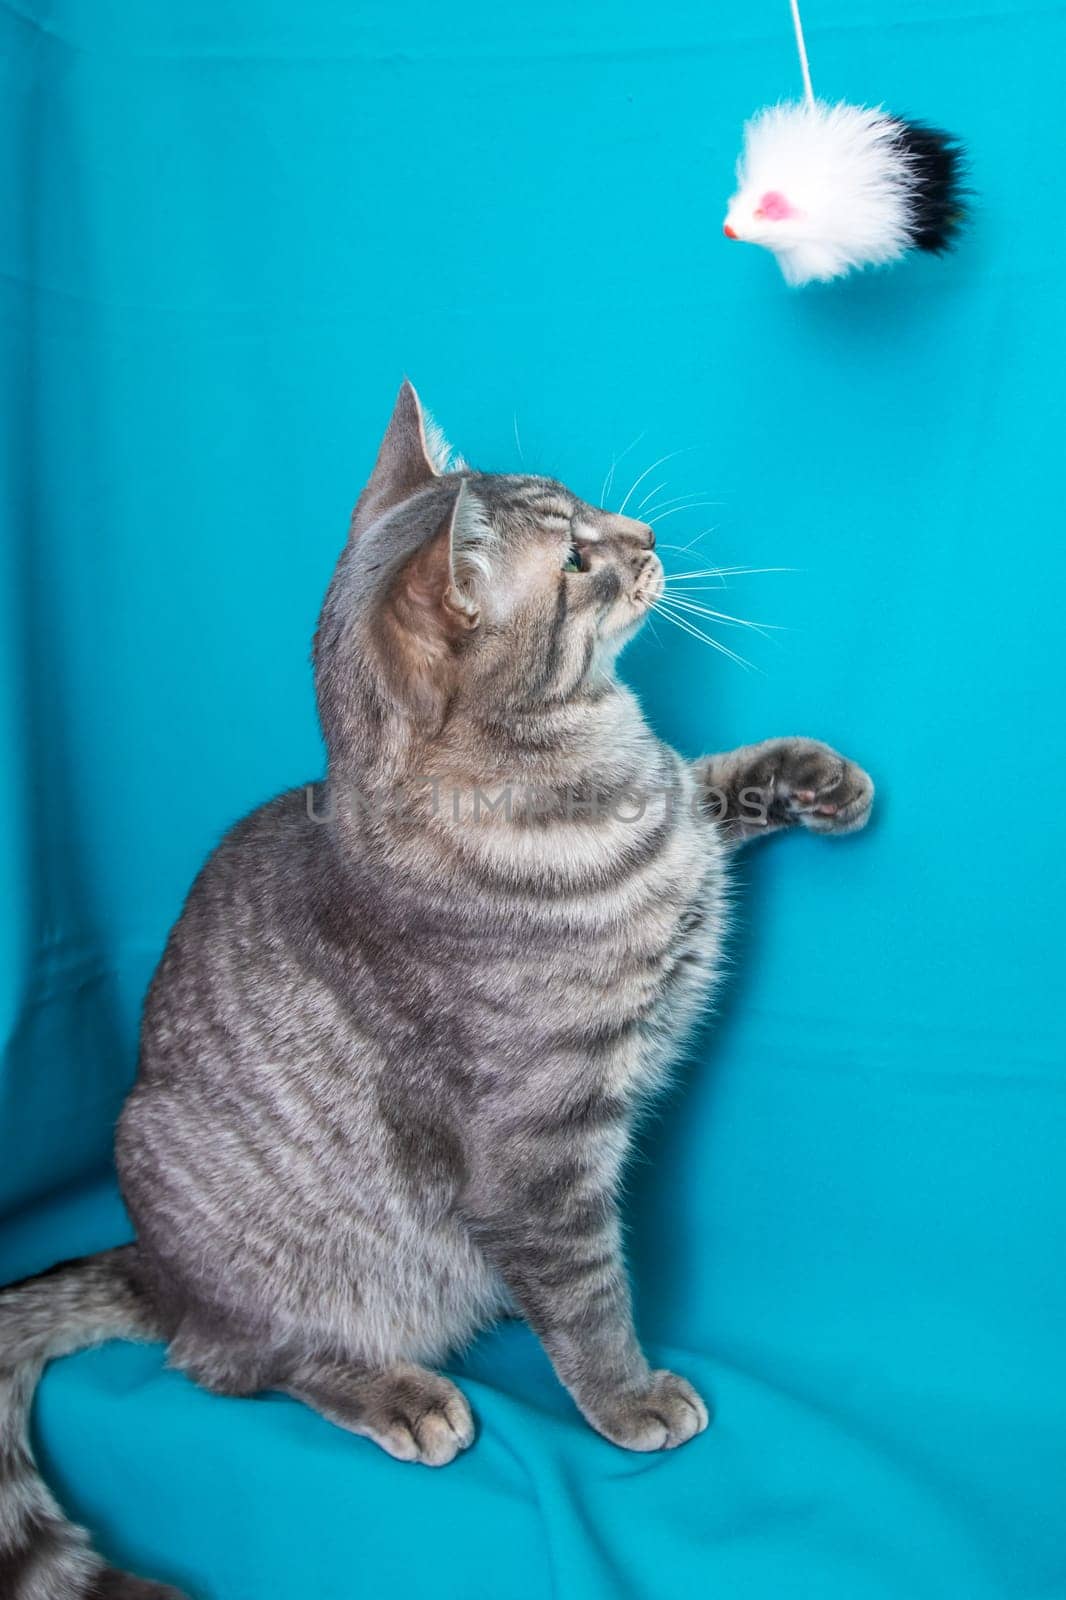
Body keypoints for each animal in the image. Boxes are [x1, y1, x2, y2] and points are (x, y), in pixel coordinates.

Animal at [0, 387, 870, 1600]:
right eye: (575, 558)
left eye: (588, 510)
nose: (644, 535)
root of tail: (153, 1268)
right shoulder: (538, 1157)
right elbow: (587, 1296)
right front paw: (628, 1396)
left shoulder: (683, 814)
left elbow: (712, 786)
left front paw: (812, 775)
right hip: (237, 1244)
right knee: (228, 1365)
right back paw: (397, 1392)